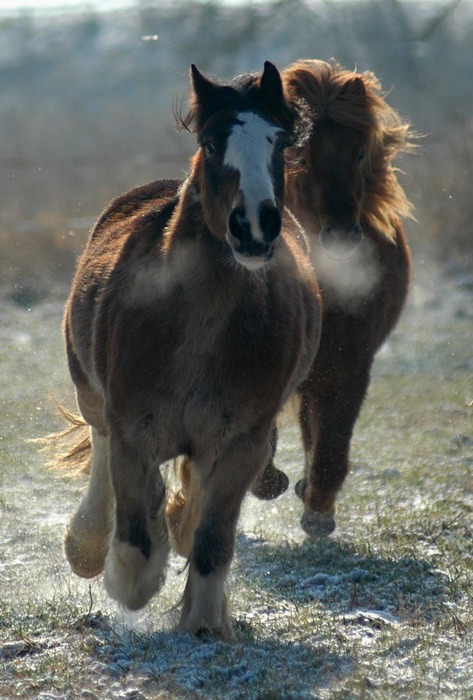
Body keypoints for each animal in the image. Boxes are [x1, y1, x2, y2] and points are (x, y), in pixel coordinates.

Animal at [58, 63, 318, 636]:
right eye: (211, 142)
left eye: (280, 140)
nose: (255, 226)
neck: (196, 327)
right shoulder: (133, 434)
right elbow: (135, 546)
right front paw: (135, 571)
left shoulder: (241, 442)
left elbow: (211, 538)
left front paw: (203, 625)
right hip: (94, 397)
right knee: (99, 443)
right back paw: (88, 543)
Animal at [280, 58, 412, 536]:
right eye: (299, 155)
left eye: (358, 153)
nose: (340, 234)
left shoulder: (350, 365)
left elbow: (332, 443)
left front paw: (318, 509)